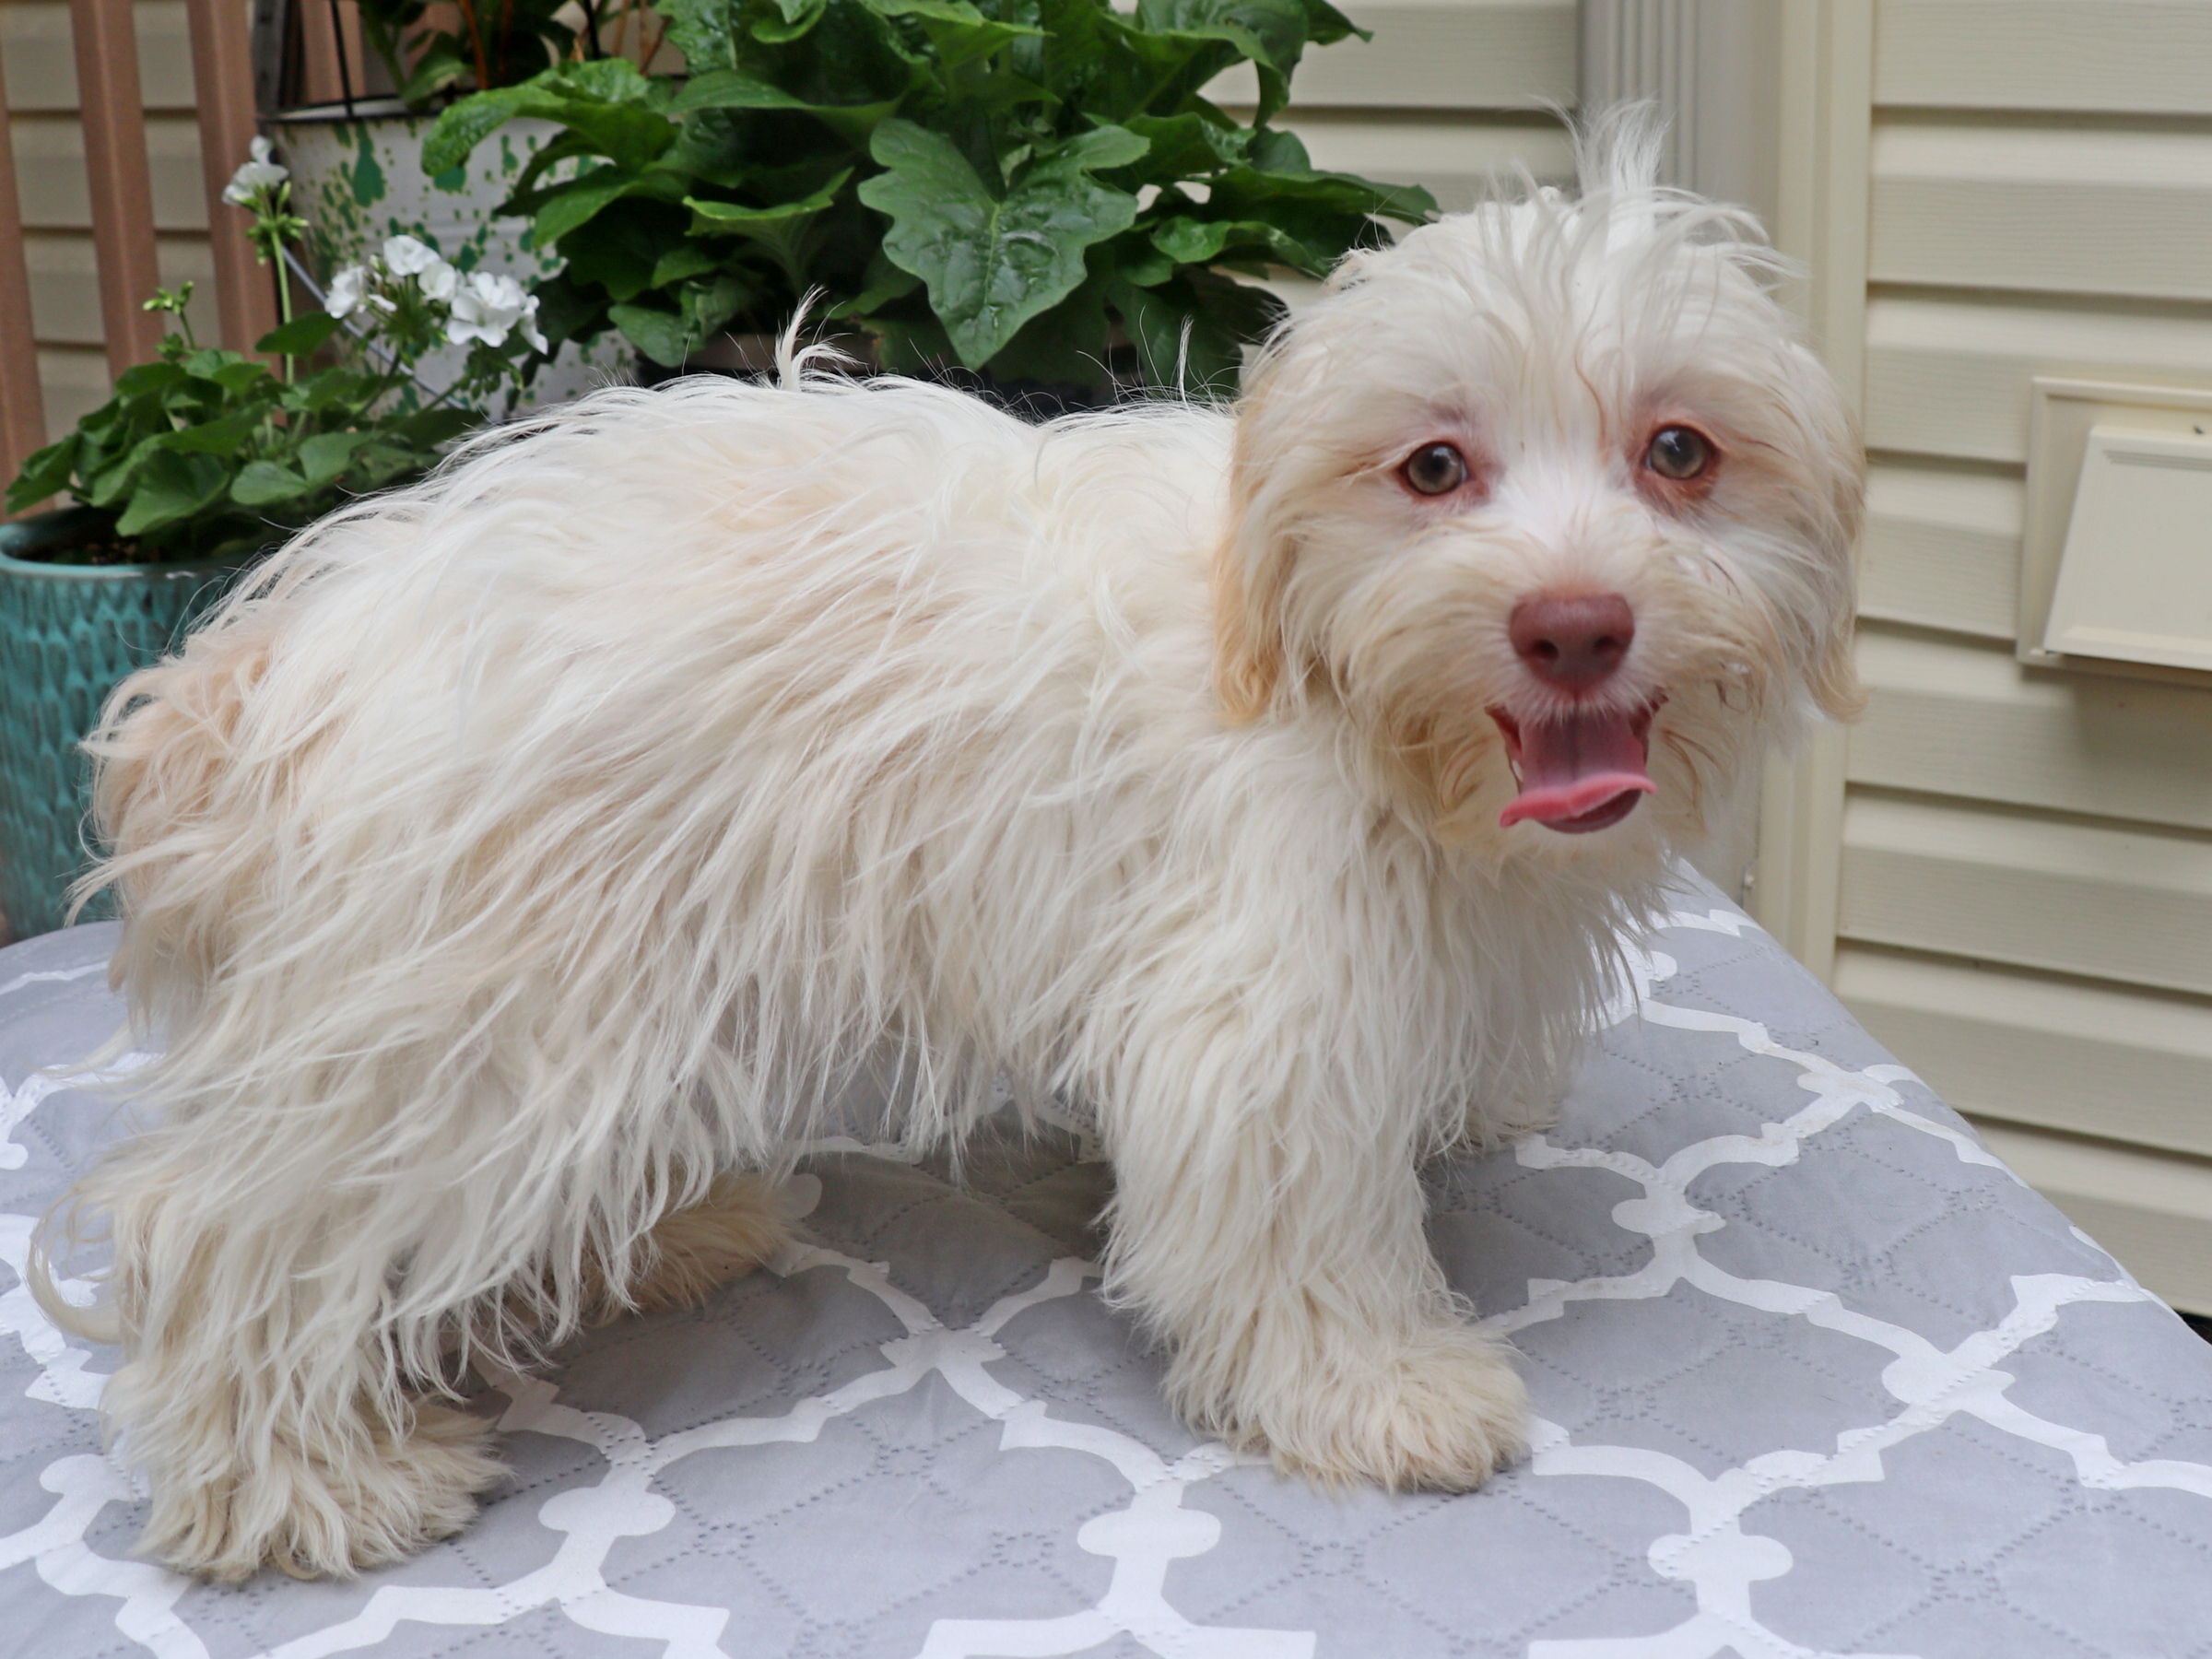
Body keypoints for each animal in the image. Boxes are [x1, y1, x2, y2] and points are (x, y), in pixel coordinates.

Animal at [32, 115, 1861, 1582]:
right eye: (1432, 467)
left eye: (1679, 452)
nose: (1575, 625)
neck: (1343, 699)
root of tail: (278, 645)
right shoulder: (1262, 1007)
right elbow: (1295, 1230)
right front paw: (1380, 1391)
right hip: (475, 1011)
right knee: (223, 1227)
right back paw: (298, 1489)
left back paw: (661, 1238)